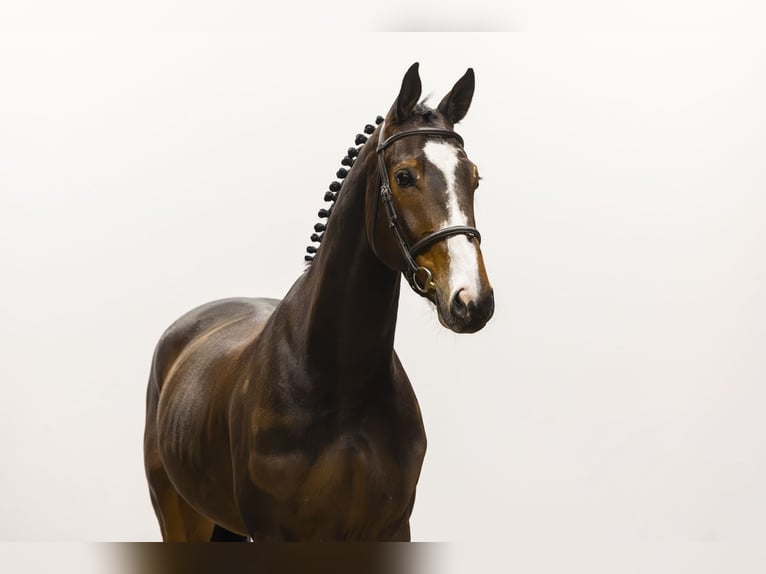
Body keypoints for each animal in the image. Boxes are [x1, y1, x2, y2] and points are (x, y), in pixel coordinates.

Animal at [143, 62, 494, 542]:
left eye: (474, 177)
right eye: (404, 176)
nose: (471, 299)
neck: (341, 386)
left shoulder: (392, 528)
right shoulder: (276, 535)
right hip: (180, 514)